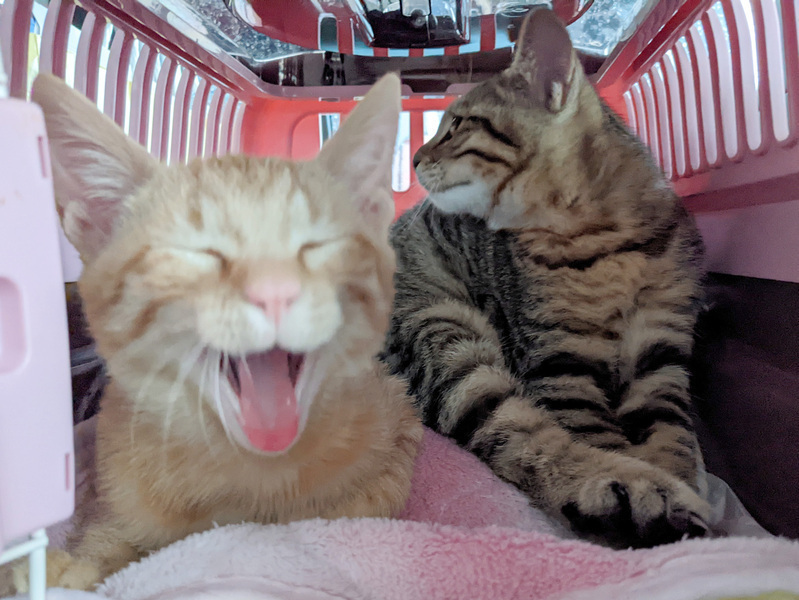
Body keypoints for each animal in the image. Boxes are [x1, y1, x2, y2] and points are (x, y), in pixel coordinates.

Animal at [1, 72, 422, 593]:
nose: (275, 292)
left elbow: (362, 501)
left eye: (318, 246)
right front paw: (61, 571)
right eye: (198, 253)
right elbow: (107, 542)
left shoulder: (398, 426)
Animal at [379, 8, 711, 549]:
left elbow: (673, 435)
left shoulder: (662, 358)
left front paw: (685, 490)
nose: (413, 158)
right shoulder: (560, 361)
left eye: (457, 125)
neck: (602, 241)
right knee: (516, 435)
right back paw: (630, 495)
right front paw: (657, 487)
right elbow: (597, 434)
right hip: (444, 337)